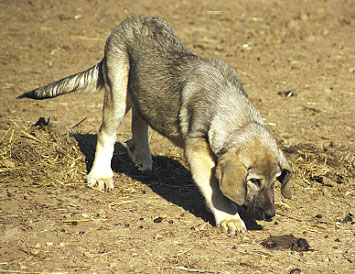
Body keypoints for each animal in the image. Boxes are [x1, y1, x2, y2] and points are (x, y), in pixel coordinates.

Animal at [18, 15, 294, 234]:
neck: (230, 109)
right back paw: (101, 175)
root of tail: (127, 21)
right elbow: (215, 190)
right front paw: (229, 218)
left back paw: (141, 154)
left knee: (140, 118)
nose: (270, 214)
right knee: (106, 132)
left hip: (138, 92)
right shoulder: (197, 151)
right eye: (254, 181)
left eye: (276, 179)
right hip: (118, 91)